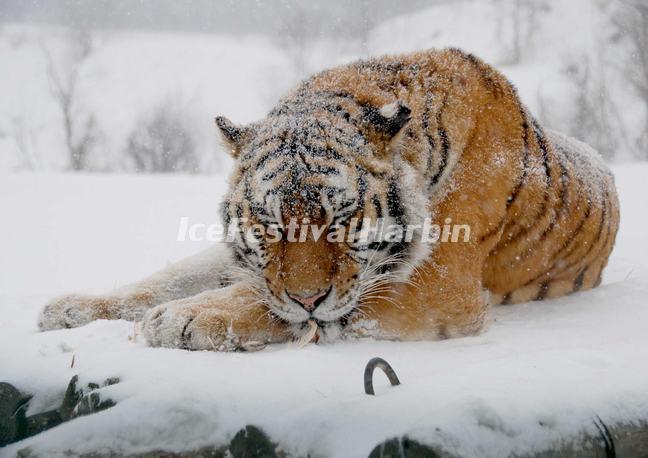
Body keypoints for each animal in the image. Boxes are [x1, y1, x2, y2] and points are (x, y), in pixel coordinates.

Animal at [38, 49, 620, 350]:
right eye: (271, 225)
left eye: (341, 221)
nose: (308, 296)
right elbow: (182, 279)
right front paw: (72, 310)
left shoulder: (438, 284)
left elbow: (293, 306)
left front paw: (183, 319)